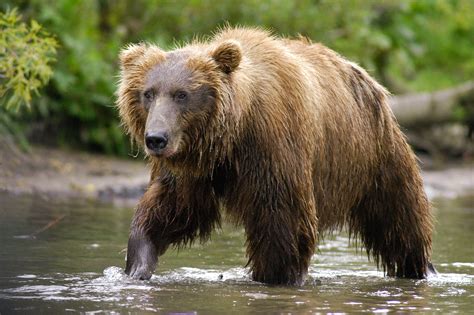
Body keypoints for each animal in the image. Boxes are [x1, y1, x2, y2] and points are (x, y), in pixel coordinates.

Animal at [116, 26, 436, 284]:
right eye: (148, 93)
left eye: (182, 94)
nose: (156, 139)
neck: (231, 135)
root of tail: (369, 79)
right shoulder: (196, 167)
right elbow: (172, 207)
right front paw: (138, 265)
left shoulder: (273, 146)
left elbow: (283, 219)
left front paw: (276, 275)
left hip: (374, 155)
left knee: (399, 218)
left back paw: (420, 268)